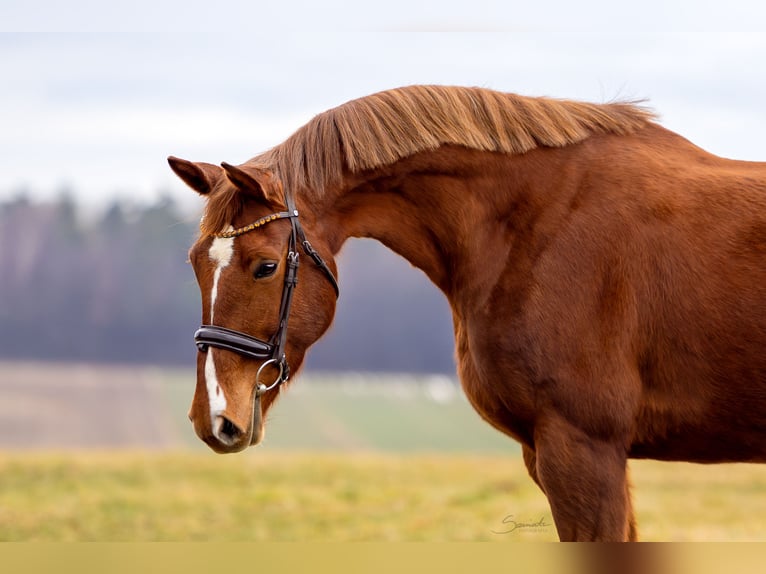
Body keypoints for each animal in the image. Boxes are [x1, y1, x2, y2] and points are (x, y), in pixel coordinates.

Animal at [168, 85, 766, 541]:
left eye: (265, 267)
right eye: (195, 263)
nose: (213, 418)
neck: (534, 223)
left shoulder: (585, 450)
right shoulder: (546, 452)